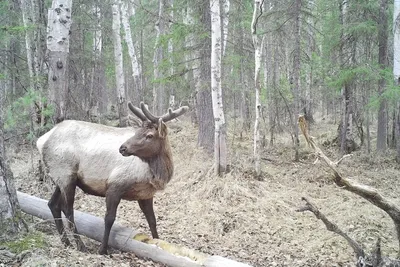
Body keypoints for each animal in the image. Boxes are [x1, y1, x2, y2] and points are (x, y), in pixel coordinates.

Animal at [36, 102, 188, 255]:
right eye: (136, 132)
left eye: (149, 135)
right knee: (67, 209)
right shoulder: (115, 185)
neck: (155, 175)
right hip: (66, 175)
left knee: (52, 204)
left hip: (61, 178)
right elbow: (109, 218)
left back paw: (66, 242)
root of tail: (41, 140)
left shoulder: (145, 195)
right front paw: (103, 249)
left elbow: (152, 220)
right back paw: (80, 245)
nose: (122, 148)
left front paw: (158, 243)